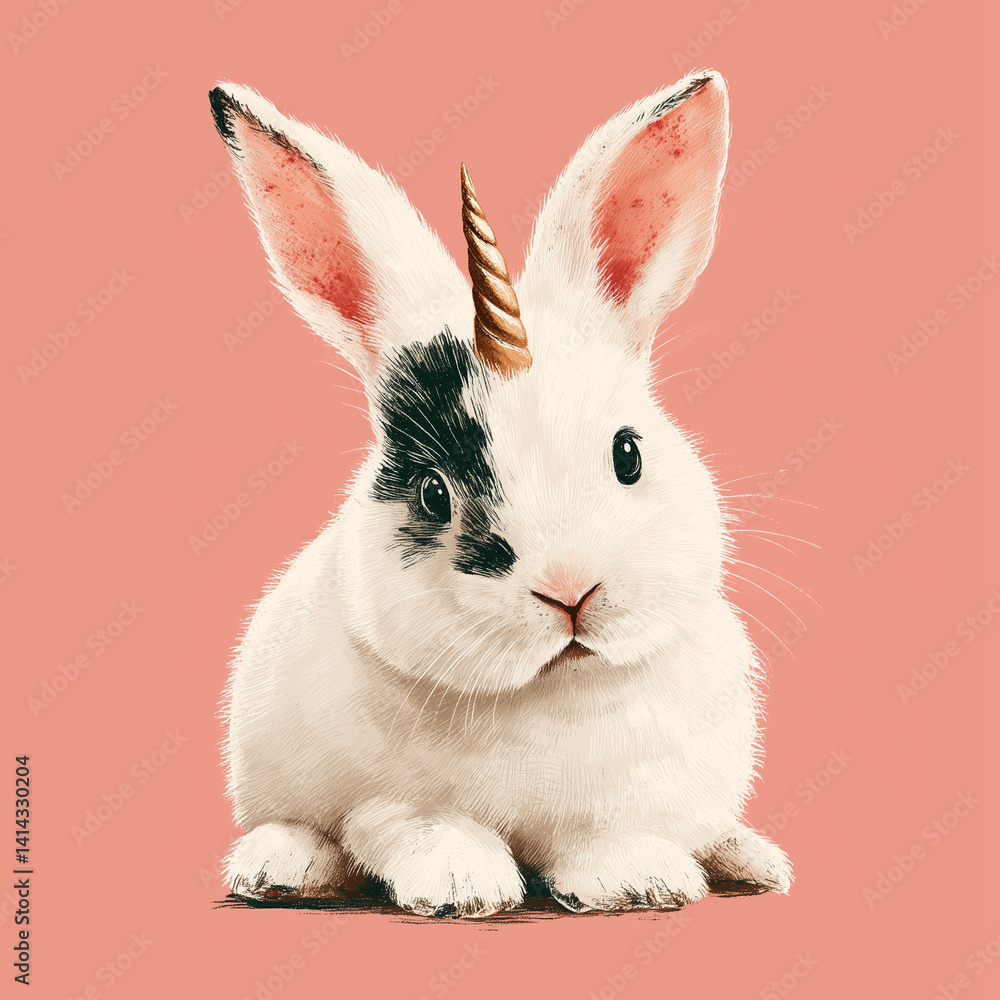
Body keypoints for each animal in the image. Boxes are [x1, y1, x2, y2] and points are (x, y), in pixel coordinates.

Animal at [209, 69, 792, 917]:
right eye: (431, 494)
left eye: (627, 453)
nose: (569, 588)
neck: (555, 693)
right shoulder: (389, 803)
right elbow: (421, 825)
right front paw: (461, 886)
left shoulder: (636, 796)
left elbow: (611, 833)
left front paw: (637, 882)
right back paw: (280, 866)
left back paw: (752, 859)